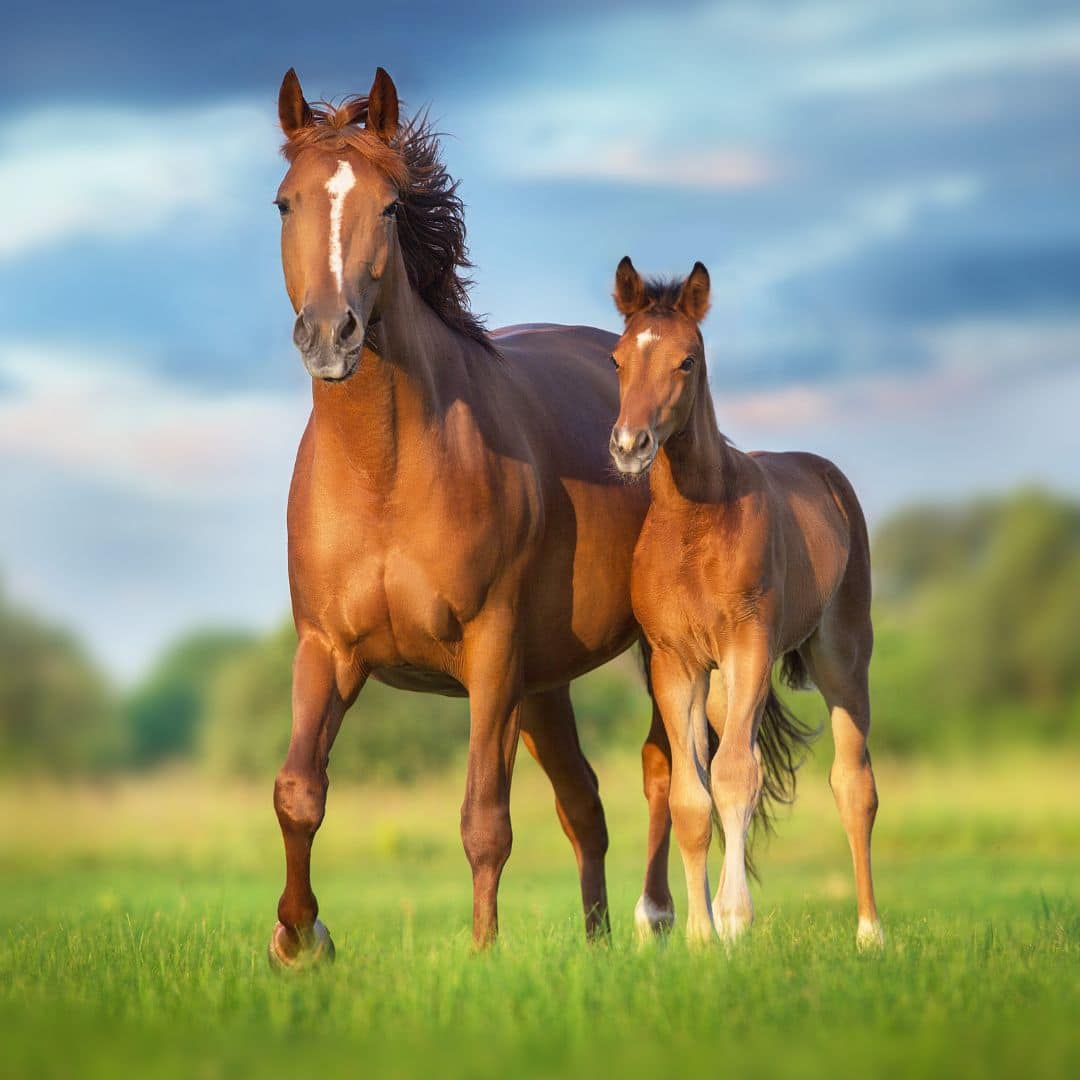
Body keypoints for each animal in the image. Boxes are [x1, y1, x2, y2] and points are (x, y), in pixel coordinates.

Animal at [266, 67, 675, 967]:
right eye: (285, 203)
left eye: (389, 206)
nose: (330, 335)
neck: (384, 473)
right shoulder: (327, 649)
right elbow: (299, 792)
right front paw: (299, 939)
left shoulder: (490, 653)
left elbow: (484, 820)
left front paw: (484, 955)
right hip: (546, 683)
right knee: (585, 806)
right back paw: (597, 943)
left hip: (647, 656)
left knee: (669, 772)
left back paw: (659, 920)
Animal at [606, 257, 884, 948]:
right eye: (618, 359)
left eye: (686, 360)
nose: (629, 444)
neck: (694, 525)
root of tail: (827, 476)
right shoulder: (676, 664)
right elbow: (691, 795)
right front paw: (701, 936)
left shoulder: (748, 646)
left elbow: (734, 776)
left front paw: (733, 921)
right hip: (728, 687)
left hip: (840, 658)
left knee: (853, 784)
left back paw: (871, 932)